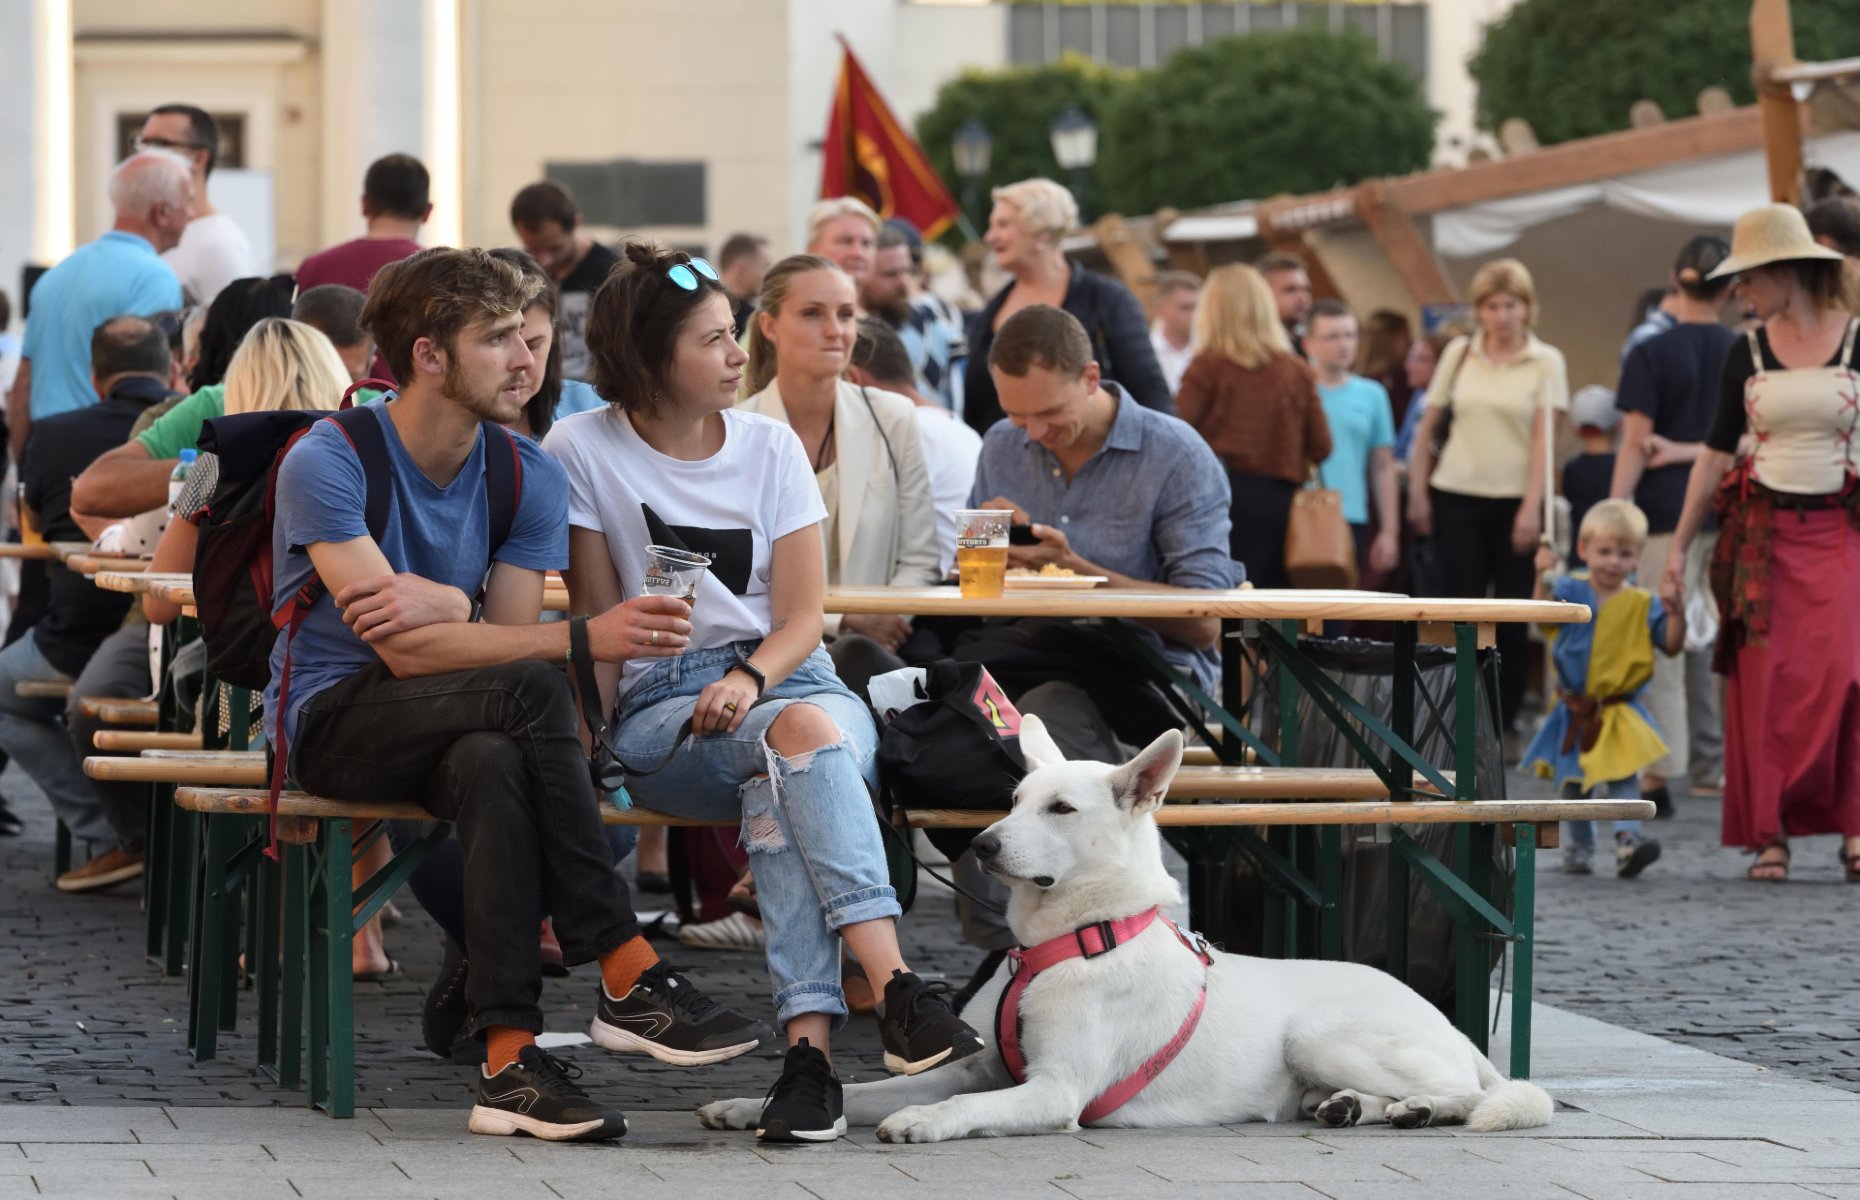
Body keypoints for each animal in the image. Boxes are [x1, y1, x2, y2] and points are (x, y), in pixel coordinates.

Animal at [691, 710, 1547, 1138]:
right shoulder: (975, 1065)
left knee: (1473, 1092)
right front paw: (755, 1107)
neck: (1064, 943)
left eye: (1062, 810)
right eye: (1012, 801)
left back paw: (1424, 1108)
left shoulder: (1054, 1090)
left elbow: (957, 1107)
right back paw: (1347, 1108)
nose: (984, 844)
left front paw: (924, 1121)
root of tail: (1452, 1024)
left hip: (1325, 1033)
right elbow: (871, 1088)